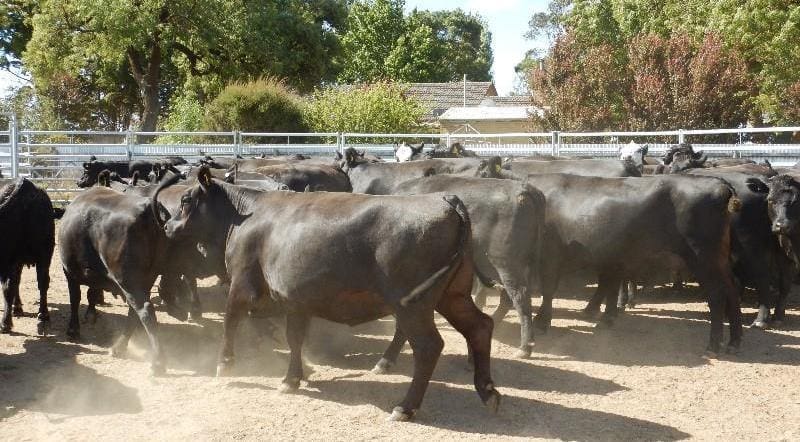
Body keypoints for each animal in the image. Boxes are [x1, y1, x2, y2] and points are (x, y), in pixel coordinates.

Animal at [158, 168, 500, 422]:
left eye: (186, 200)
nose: (168, 227)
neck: (245, 215)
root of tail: (446, 199)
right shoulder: (296, 300)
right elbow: (294, 338)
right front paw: (292, 378)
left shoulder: (242, 284)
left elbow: (231, 321)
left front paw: (225, 364)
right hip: (452, 295)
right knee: (480, 326)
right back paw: (488, 391)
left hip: (413, 304)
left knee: (429, 346)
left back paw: (405, 407)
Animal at [524, 174, 744, 358]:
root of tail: (719, 183)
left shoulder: (550, 256)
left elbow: (548, 289)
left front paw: (542, 321)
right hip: (719, 260)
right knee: (732, 289)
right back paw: (734, 342)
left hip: (702, 258)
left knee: (717, 294)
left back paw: (713, 346)